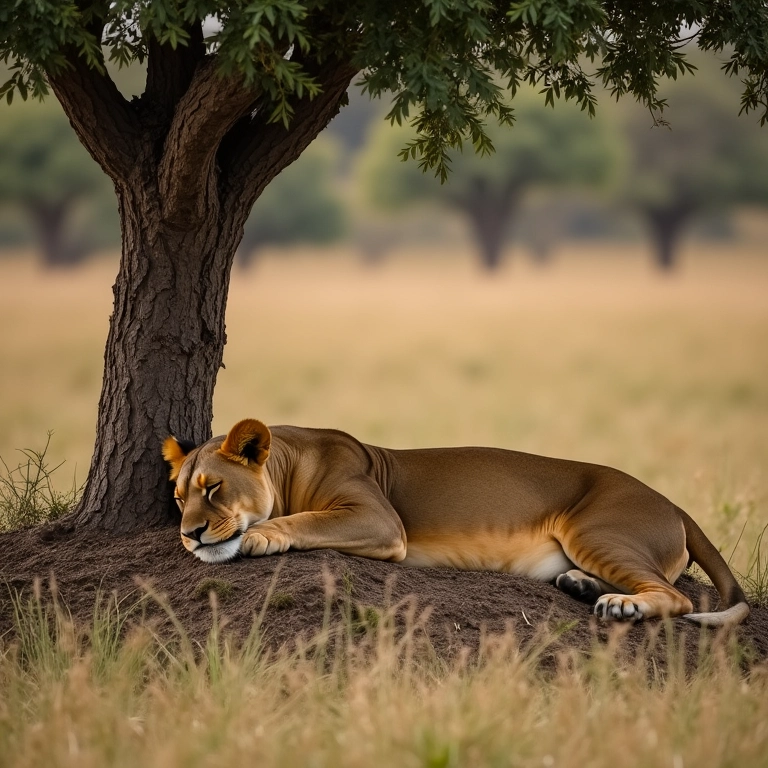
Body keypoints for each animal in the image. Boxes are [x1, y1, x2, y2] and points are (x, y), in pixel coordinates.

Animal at [163, 419, 749, 626]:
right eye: (178, 498)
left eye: (213, 489)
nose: (190, 535)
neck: (288, 463)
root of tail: (674, 504)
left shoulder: (380, 519)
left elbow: (306, 521)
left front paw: (260, 535)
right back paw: (582, 586)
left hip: (595, 528)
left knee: (677, 598)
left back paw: (620, 605)